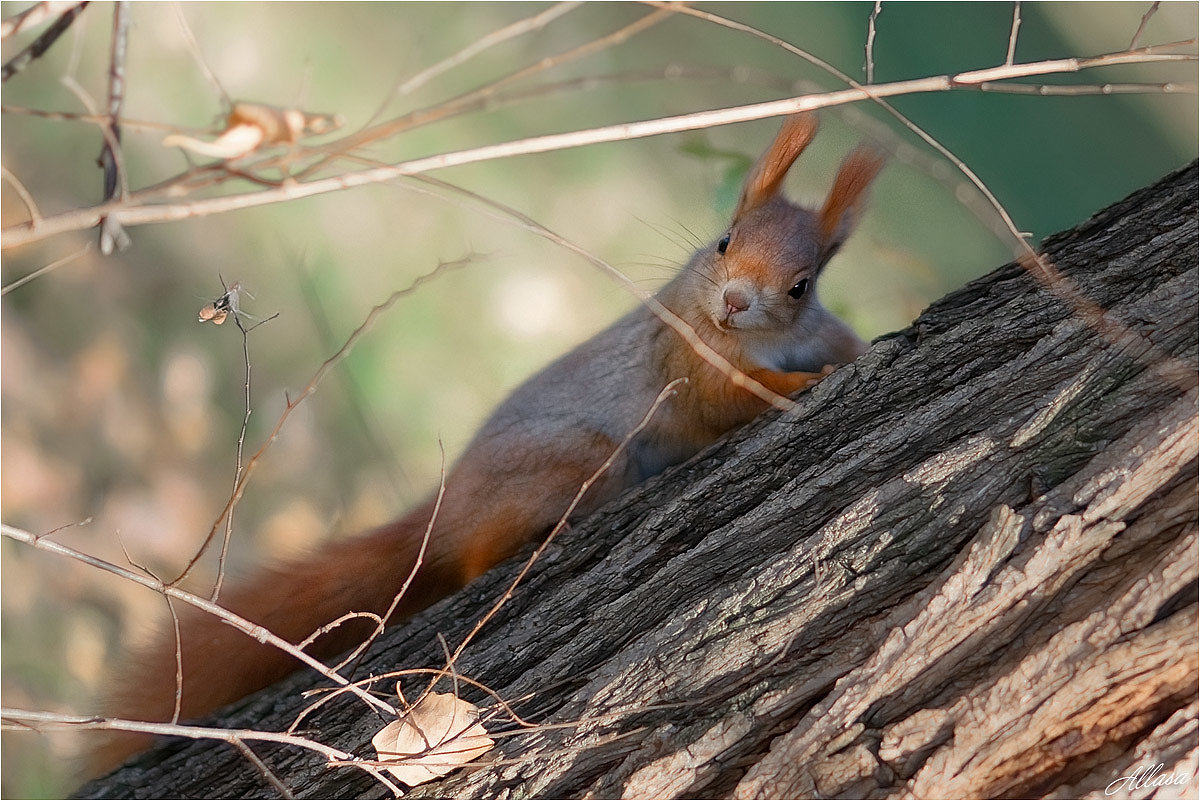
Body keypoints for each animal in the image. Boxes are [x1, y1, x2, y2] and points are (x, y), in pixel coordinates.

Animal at [91, 113, 883, 777]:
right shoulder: (689, 363)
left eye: (800, 284)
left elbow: (833, 343)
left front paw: (842, 356)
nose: (734, 302)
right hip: (580, 465)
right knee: (473, 559)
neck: (756, 337)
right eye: (724, 240)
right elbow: (735, 398)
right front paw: (809, 380)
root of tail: (446, 508)